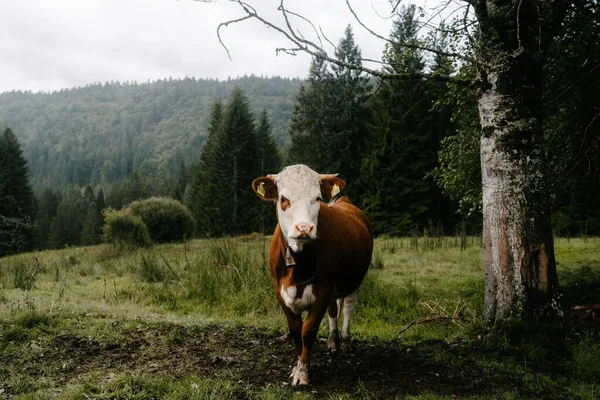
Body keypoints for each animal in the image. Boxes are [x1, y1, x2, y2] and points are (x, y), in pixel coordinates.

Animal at [252, 162, 372, 384]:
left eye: (317, 198)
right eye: (284, 199)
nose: (304, 228)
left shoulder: (324, 289)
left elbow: (308, 330)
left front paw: (302, 372)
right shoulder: (279, 291)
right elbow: (295, 330)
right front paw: (296, 366)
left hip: (355, 280)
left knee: (348, 308)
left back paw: (345, 340)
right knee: (333, 310)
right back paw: (333, 342)